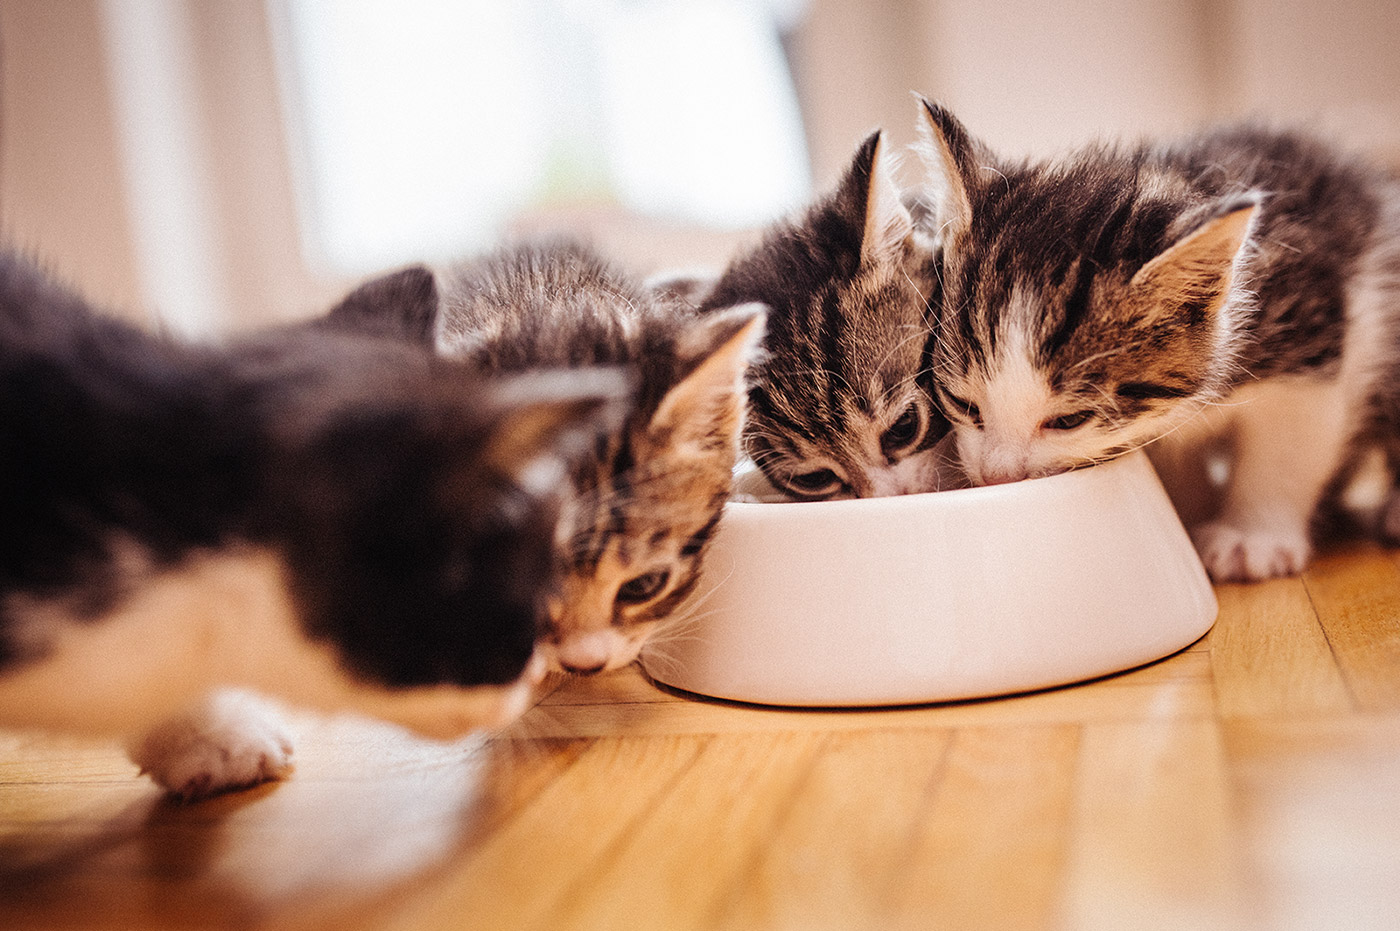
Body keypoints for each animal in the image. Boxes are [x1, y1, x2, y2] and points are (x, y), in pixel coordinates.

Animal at [912, 100, 1400, 582]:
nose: (997, 477)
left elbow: (1289, 445)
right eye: (963, 403)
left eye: (1070, 420)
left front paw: (1252, 538)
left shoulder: (1307, 333)